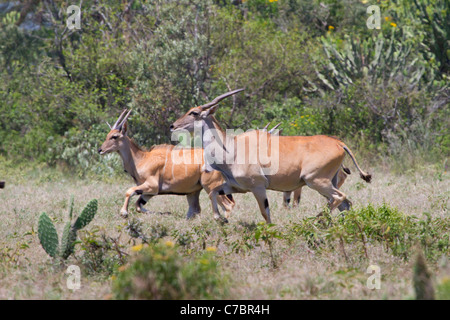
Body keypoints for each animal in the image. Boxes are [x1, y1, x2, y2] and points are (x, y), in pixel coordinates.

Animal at [99, 110, 236, 220]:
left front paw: (124, 212)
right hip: (194, 192)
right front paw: (167, 213)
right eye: (107, 135)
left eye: (114, 136)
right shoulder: (149, 192)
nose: (100, 150)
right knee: (196, 210)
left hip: (211, 187)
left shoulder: (152, 186)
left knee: (228, 205)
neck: (142, 158)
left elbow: (129, 192)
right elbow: (138, 206)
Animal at [171, 87, 370, 222]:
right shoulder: (235, 187)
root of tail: (339, 143)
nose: (173, 125)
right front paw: (221, 219)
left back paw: (319, 220)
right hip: (327, 182)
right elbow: (213, 193)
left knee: (340, 197)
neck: (231, 148)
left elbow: (265, 214)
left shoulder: (258, 187)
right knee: (345, 203)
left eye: (194, 112)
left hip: (316, 181)